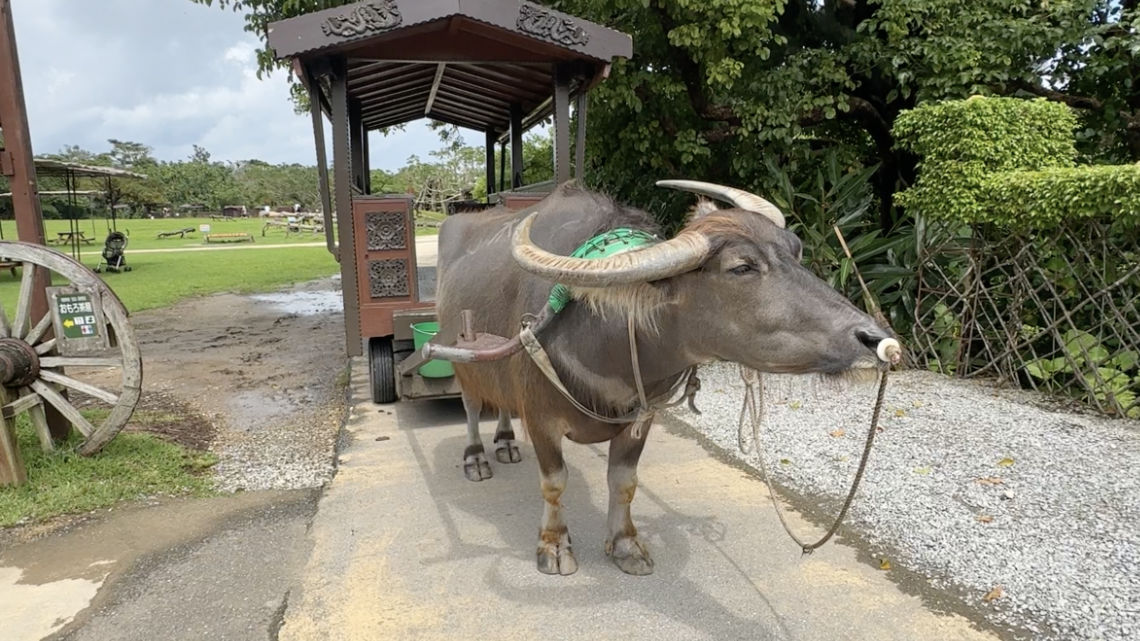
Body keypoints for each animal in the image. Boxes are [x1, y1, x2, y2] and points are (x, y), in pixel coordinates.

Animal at [437, 180, 898, 574]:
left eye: (796, 250)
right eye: (742, 267)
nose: (876, 339)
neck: (600, 334)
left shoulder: (641, 418)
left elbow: (624, 482)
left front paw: (625, 545)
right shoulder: (540, 417)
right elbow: (554, 484)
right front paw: (554, 545)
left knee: (499, 404)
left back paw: (505, 443)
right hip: (460, 360)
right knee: (472, 405)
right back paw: (477, 456)